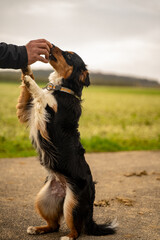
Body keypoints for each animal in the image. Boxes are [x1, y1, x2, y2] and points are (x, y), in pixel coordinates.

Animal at [15, 44, 117, 239]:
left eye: (69, 56)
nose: (51, 45)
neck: (61, 88)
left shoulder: (48, 116)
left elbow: (41, 95)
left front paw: (30, 81)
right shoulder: (26, 112)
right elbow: (32, 90)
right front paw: (26, 68)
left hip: (72, 204)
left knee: (76, 230)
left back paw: (67, 236)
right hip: (43, 199)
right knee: (53, 225)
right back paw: (37, 229)